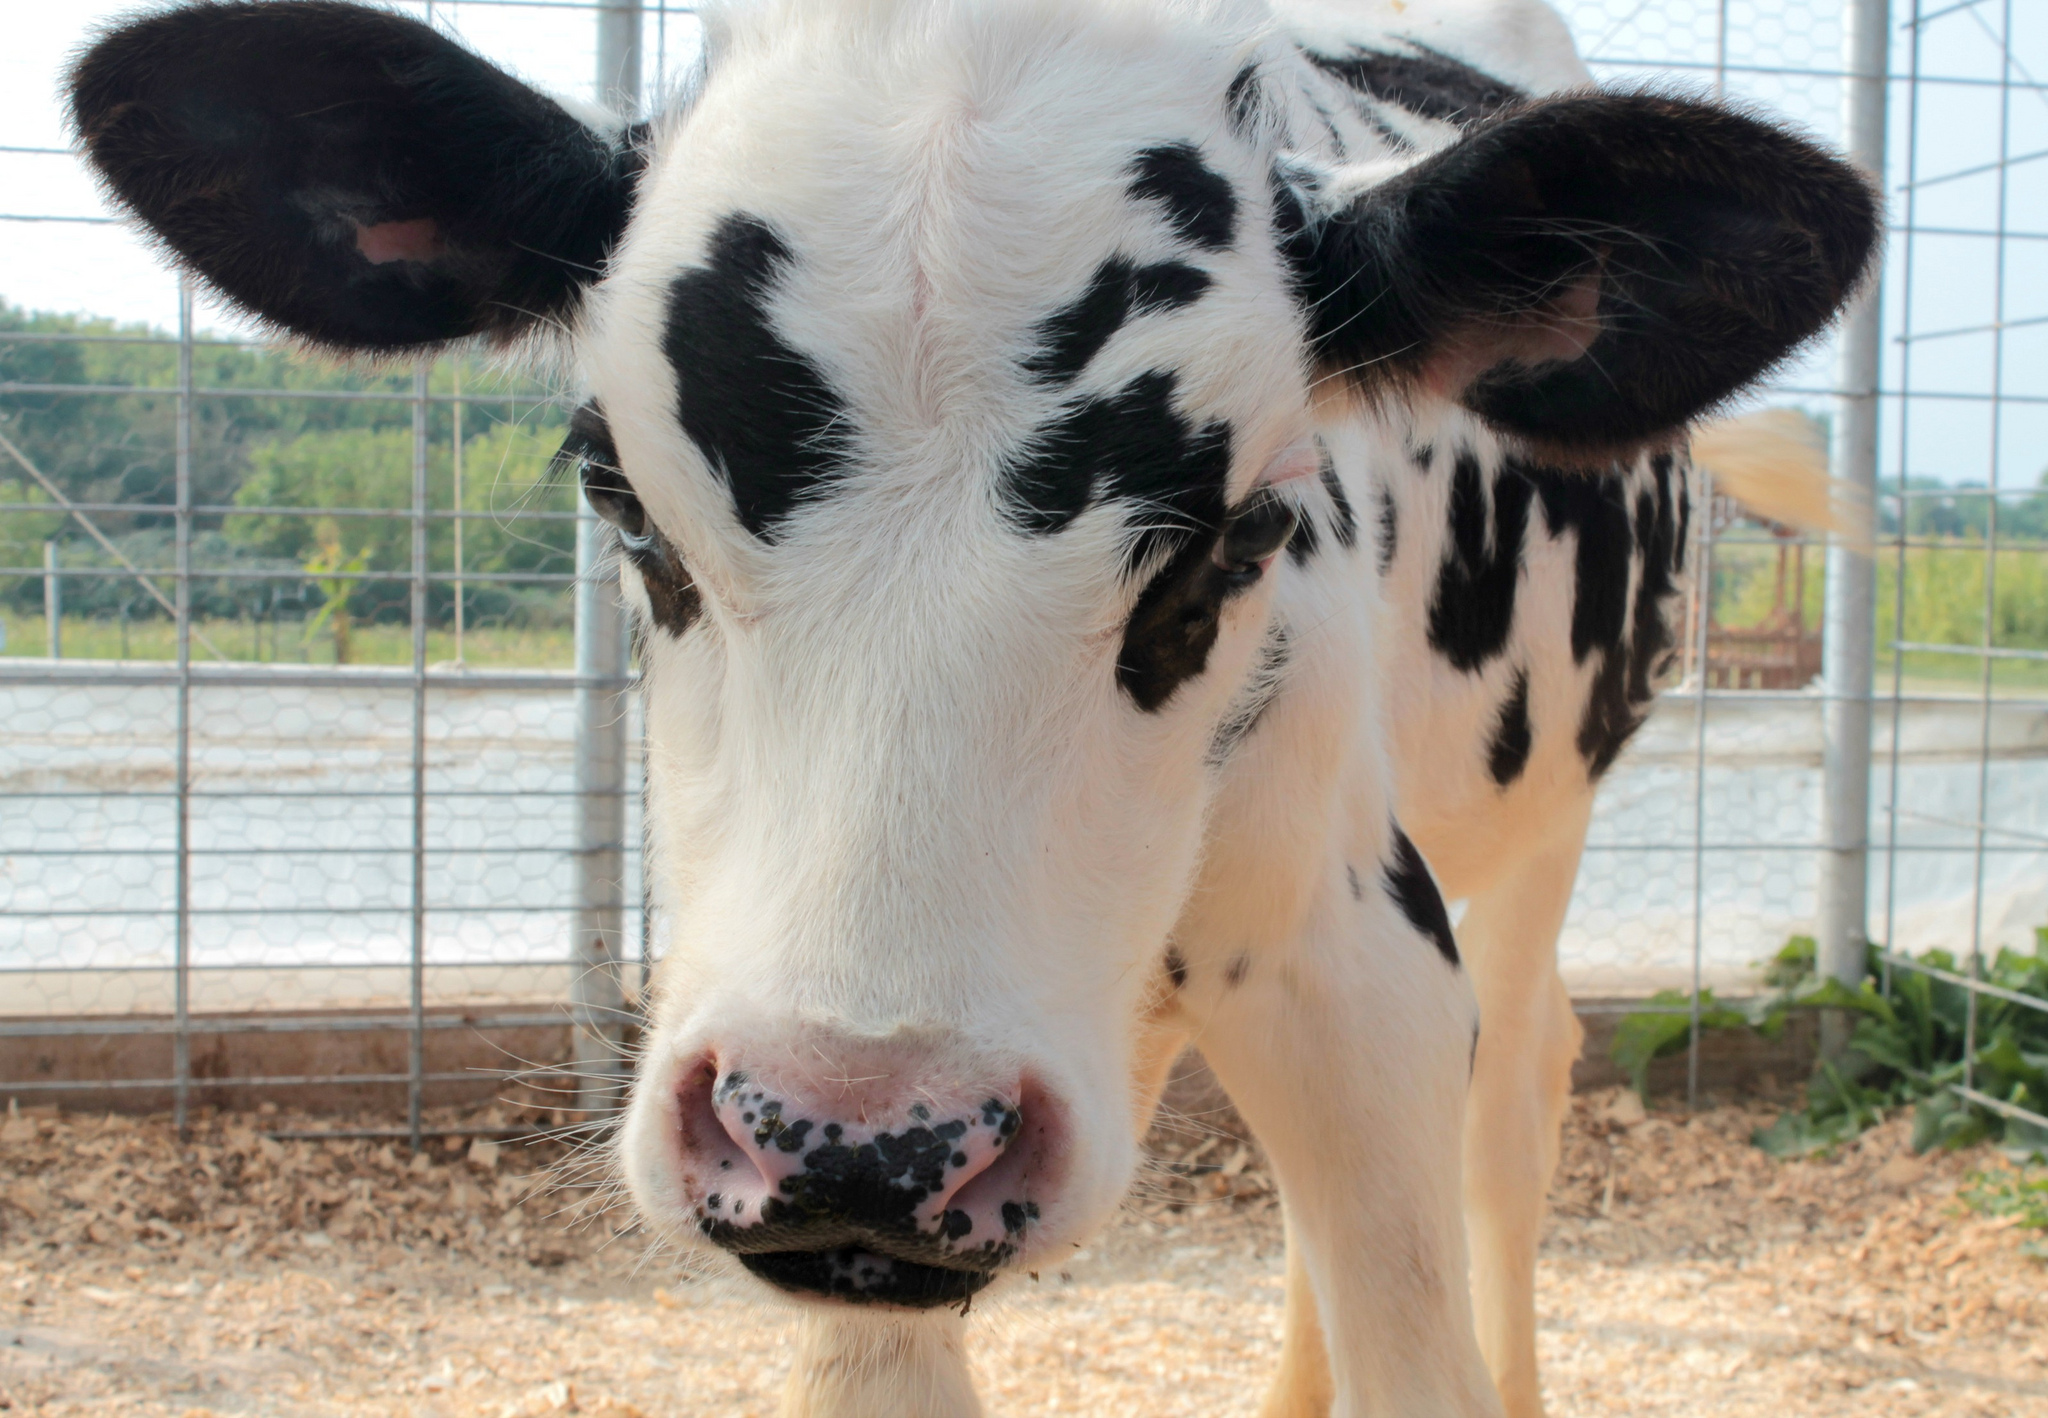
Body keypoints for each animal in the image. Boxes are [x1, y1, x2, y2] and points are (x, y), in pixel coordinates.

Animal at [69, 2, 1877, 1414]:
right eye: (620, 494)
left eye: (1246, 527)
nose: (858, 1139)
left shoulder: (1355, 957)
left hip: (1535, 819)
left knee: (1507, 1098)